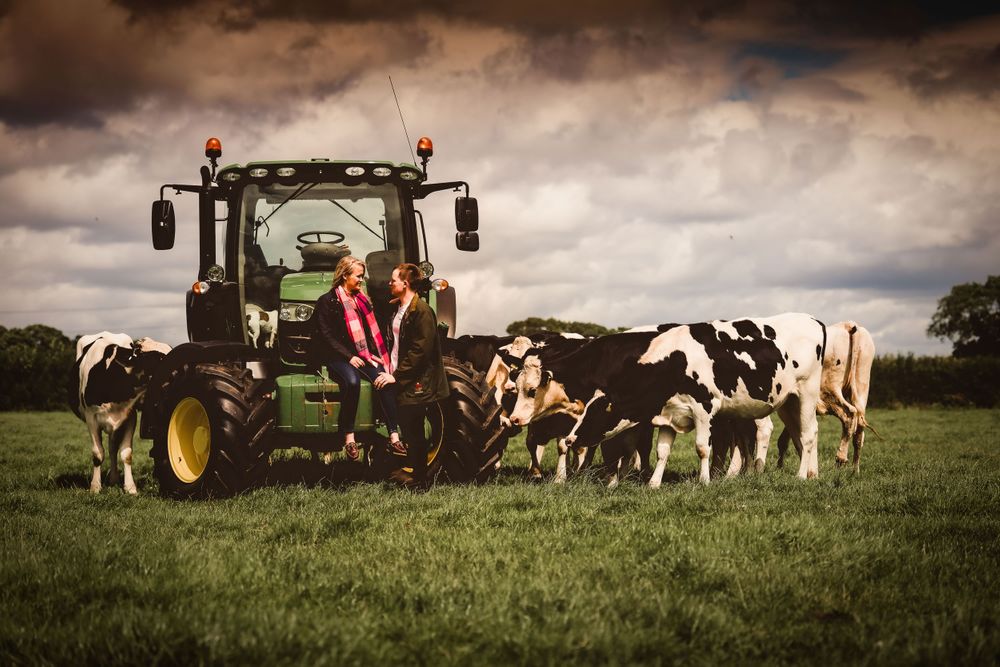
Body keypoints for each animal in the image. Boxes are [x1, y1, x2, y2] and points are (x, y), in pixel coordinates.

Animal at [68, 332, 171, 494]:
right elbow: (98, 453)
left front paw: (130, 488)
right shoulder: (91, 419)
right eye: (159, 361)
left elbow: (126, 453)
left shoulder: (130, 418)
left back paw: (114, 478)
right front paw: (95, 487)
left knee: (112, 449)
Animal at [510, 313, 827, 485]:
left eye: (531, 390)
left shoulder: (704, 408)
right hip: (780, 403)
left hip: (805, 394)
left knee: (806, 433)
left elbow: (699, 447)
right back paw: (808, 472)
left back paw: (796, 475)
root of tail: (813, 320)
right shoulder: (663, 414)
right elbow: (657, 449)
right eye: (516, 386)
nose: (514, 419)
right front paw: (646, 481)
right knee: (794, 435)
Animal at [774, 321, 875, 473]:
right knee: (859, 429)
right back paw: (855, 470)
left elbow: (790, 440)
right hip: (861, 386)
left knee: (849, 414)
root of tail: (848, 325)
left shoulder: (787, 407)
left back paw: (841, 458)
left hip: (830, 390)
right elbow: (786, 439)